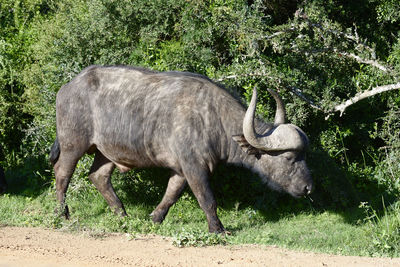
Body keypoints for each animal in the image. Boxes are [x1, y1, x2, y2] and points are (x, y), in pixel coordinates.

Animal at [50, 66, 312, 234]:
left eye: (304, 155)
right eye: (290, 157)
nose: (308, 187)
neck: (213, 119)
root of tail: (67, 87)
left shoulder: (181, 169)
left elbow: (172, 194)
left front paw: (155, 218)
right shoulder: (194, 166)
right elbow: (207, 198)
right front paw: (217, 229)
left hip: (105, 152)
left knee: (99, 176)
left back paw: (122, 215)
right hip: (73, 144)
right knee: (62, 174)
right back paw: (62, 213)